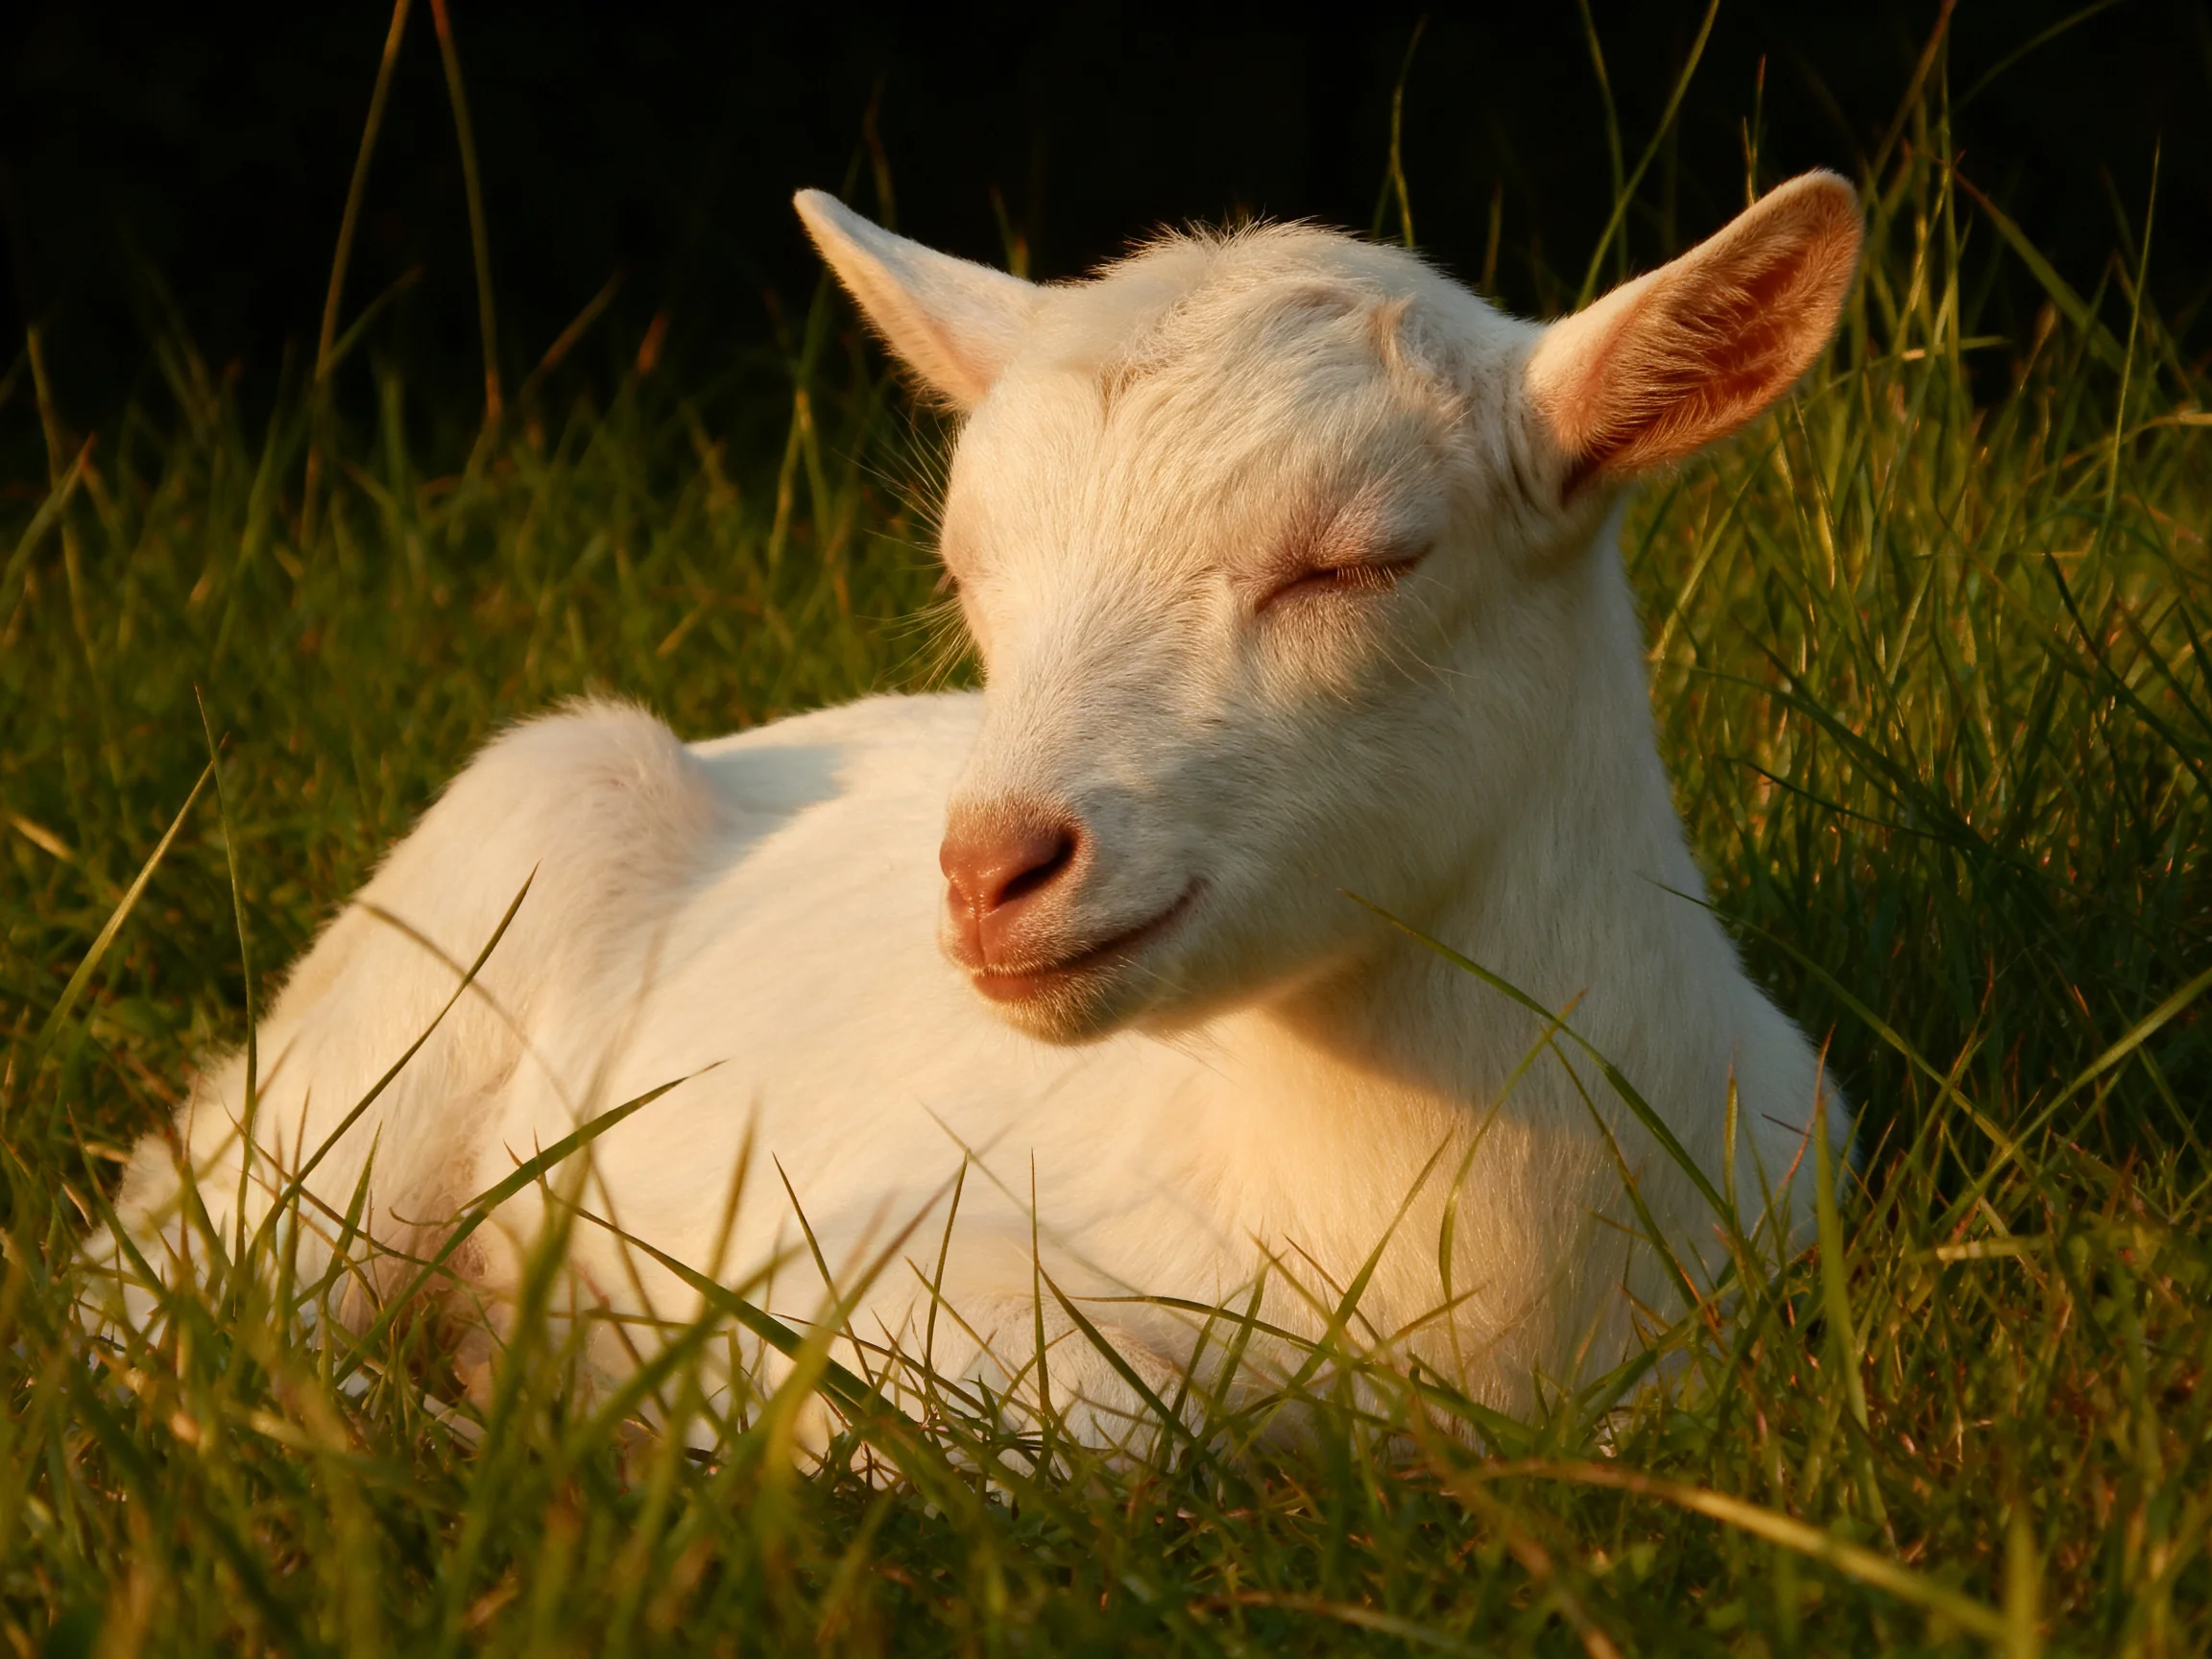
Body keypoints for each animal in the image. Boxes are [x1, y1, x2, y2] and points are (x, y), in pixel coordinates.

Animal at [89, 174, 1863, 1454]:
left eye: (1359, 559)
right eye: (966, 570)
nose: (991, 868)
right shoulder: (879, 1258)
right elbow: (1080, 1420)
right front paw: (629, 1412)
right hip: (412, 988)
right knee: (166, 1298)